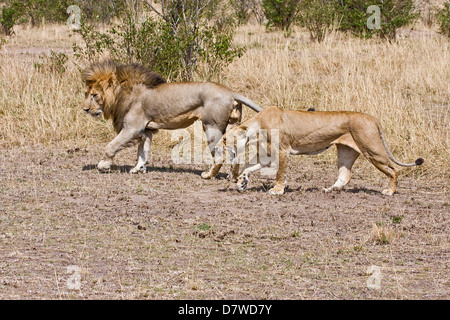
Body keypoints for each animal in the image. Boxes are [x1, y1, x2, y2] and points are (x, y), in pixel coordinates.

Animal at [81, 61, 260, 174]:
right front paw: (138, 169)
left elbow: (111, 146)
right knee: (233, 153)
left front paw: (103, 165)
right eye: (86, 94)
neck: (122, 94)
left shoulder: (132, 128)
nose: (85, 109)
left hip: (212, 127)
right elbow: (143, 152)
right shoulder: (145, 130)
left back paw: (209, 175)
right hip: (232, 126)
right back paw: (232, 176)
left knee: (220, 155)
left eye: (94, 95)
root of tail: (230, 91)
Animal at [202, 105, 424, 195]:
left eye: (224, 138)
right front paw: (242, 182)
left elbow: (280, 173)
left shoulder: (282, 151)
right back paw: (328, 190)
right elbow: (249, 167)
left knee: (394, 169)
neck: (256, 128)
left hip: (372, 148)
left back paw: (390, 191)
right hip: (346, 151)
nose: (215, 146)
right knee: (345, 176)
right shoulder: (267, 156)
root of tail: (373, 118)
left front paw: (277, 190)